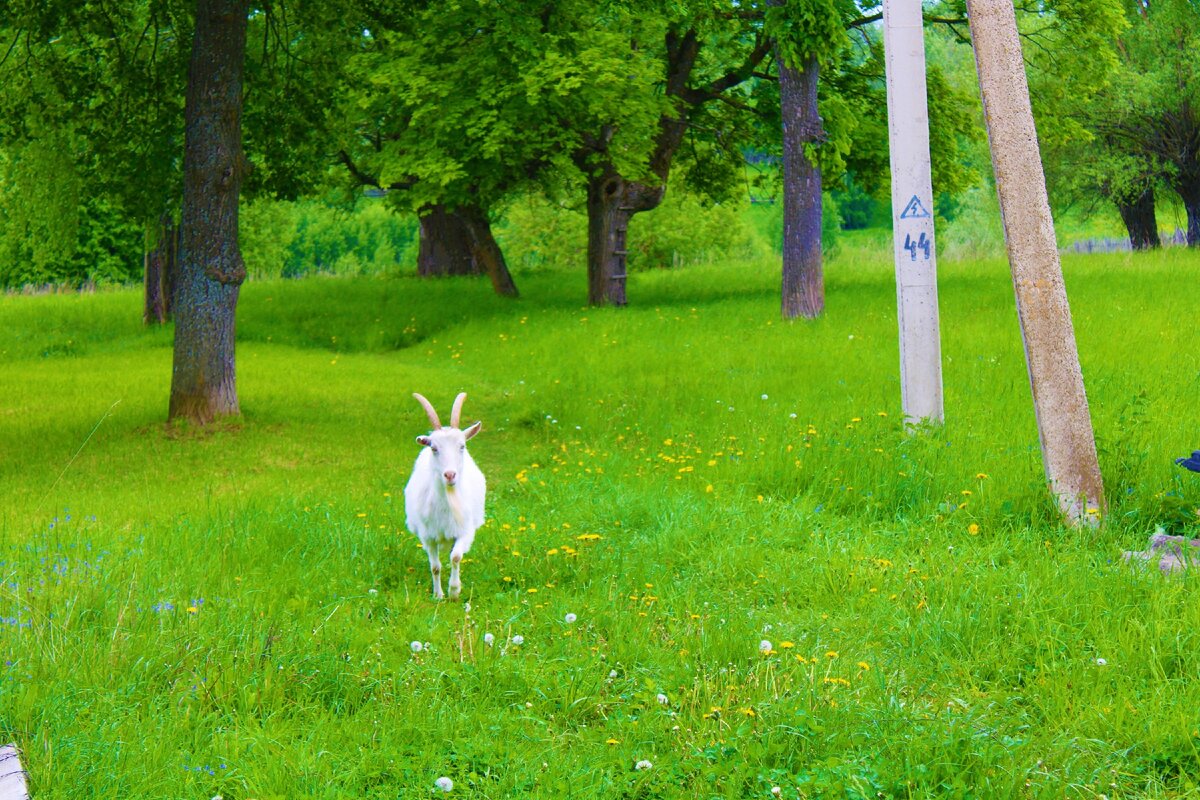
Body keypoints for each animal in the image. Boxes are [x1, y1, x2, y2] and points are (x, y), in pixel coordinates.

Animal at [405, 393, 484, 599]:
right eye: (434, 448)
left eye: (462, 446)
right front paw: (438, 595)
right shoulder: (428, 536)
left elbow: (455, 557)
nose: (450, 475)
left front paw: (454, 591)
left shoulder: (464, 531)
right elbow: (435, 567)